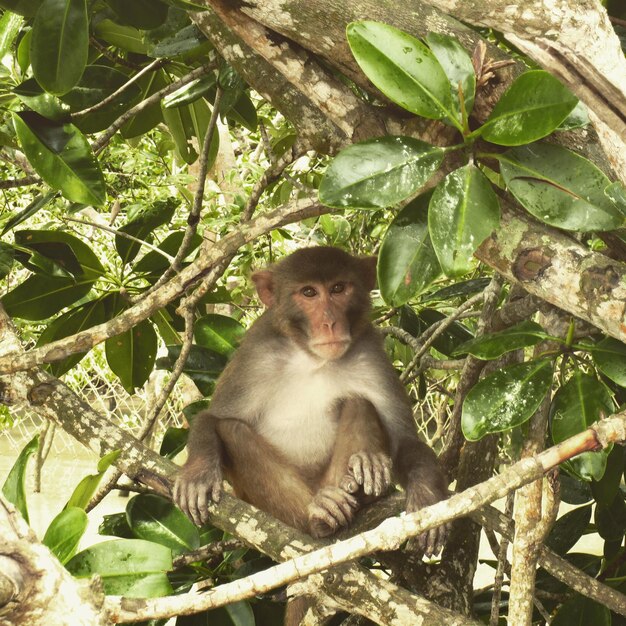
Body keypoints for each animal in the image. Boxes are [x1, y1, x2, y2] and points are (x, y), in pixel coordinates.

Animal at [174, 245, 448, 616]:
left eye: (338, 288)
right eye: (308, 293)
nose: (330, 322)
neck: (312, 358)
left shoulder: (370, 353)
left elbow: (404, 439)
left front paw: (426, 496)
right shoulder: (256, 352)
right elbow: (212, 419)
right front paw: (198, 473)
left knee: (358, 403)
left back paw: (358, 479)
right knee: (232, 432)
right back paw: (317, 516)